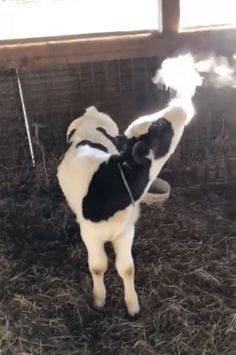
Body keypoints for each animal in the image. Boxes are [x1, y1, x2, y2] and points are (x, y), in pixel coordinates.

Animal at [56, 54, 201, 316]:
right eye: (159, 127)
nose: (180, 105)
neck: (115, 183)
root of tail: (90, 114)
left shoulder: (125, 231)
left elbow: (126, 268)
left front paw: (133, 307)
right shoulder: (90, 234)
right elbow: (98, 266)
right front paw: (99, 300)